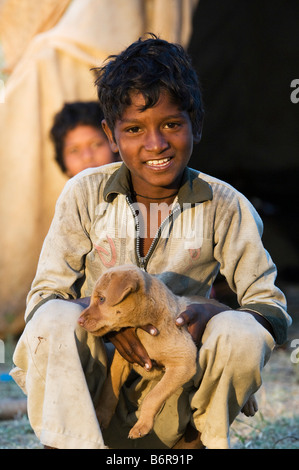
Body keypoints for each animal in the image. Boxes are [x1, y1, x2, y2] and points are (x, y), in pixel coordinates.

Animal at [79, 266, 258, 438]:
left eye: (102, 299)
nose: (79, 321)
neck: (145, 327)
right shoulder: (122, 358)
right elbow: (110, 387)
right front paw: (101, 416)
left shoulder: (183, 363)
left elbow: (153, 397)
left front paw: (141, 426)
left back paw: (250, 403)